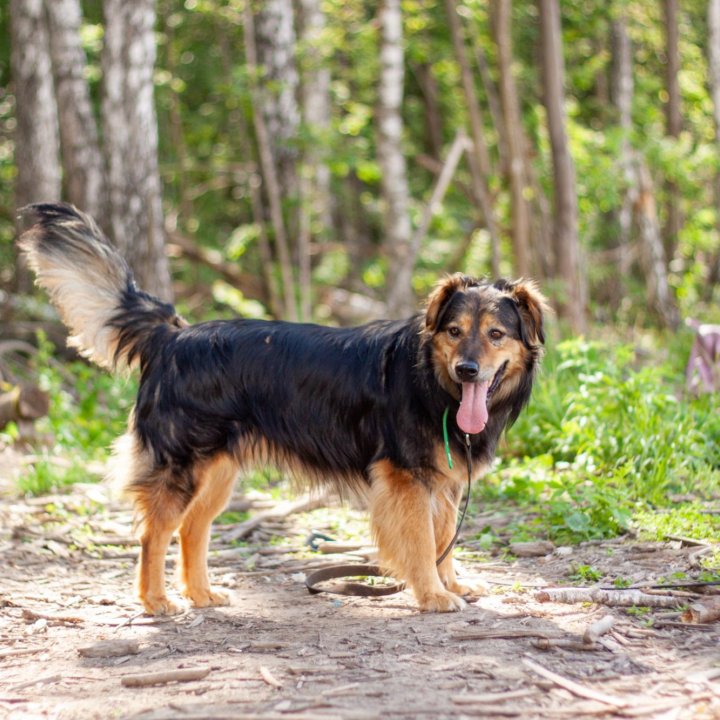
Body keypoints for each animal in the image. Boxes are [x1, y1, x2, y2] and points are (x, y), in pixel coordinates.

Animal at [18, 201, 544, 612]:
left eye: (496, 334)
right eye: (454, 331)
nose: (468, 370)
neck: (430, 381)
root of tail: (172, 337)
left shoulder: (443, 482)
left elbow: (443, 539)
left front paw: (451, 583)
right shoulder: (405, 478)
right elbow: (420, 542)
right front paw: (433, 594)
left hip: (218, 470)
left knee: (192, 529)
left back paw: (201, 594)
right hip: (183, 464)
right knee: (155, 533)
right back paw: (156, 601)